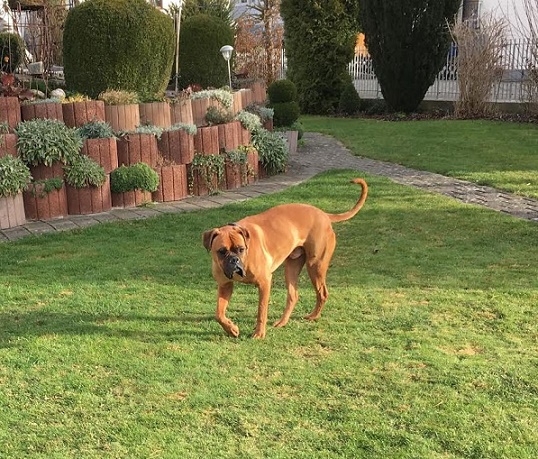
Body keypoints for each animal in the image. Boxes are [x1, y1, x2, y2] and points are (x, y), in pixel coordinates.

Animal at [202, 177, 368, 338]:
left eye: (241, 249)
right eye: (222, 251)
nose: (234, 260)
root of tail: (324, 214)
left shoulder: (264, 282)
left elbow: (261, 310)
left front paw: (259, 333)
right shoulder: (225, 286)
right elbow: (219, 314)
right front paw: (232, 329)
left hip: (315, 265)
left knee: (322, 293)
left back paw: (313, 316)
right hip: (292, 267)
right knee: (293, 295)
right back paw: (282, 322)